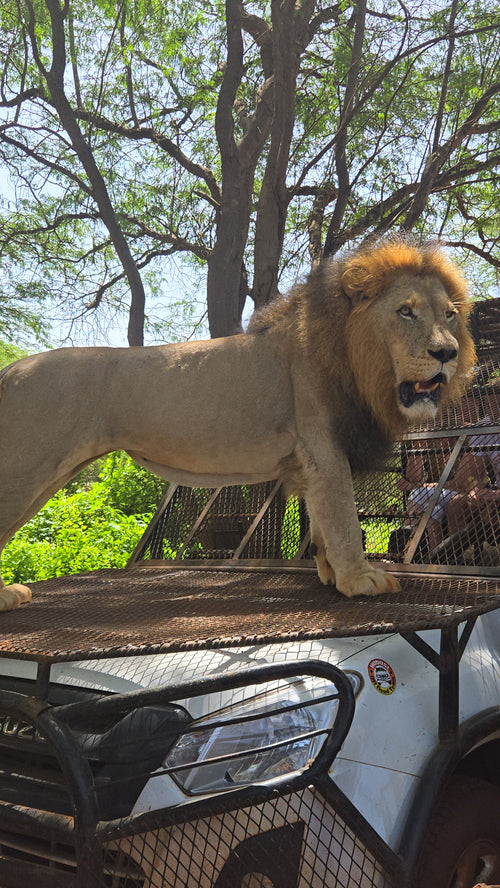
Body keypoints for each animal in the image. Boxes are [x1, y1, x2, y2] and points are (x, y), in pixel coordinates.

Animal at [0, 237, 476, 611]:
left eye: (449, 315)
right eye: (405, 312)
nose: (447, 354)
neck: (355, 358)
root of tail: (12, 369)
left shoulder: (314, 459)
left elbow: (322, 522)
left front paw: (331, 574)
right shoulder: (323, 446)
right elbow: (343, 517)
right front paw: (361, 580)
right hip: (26, 469)